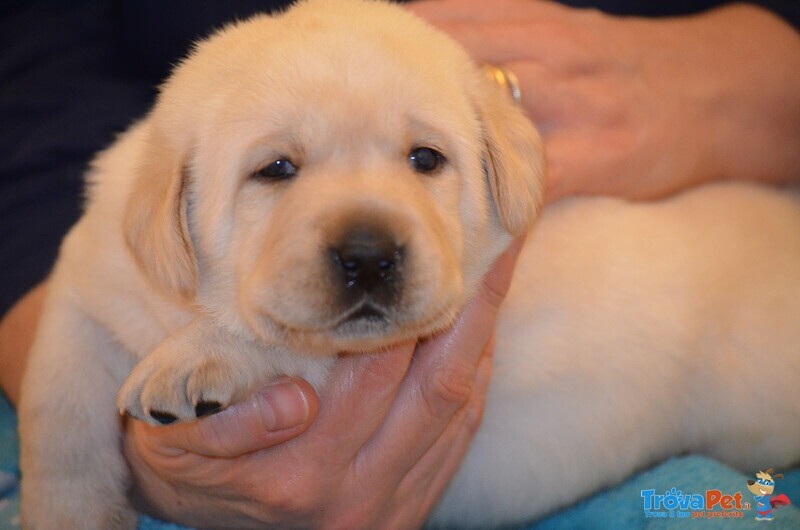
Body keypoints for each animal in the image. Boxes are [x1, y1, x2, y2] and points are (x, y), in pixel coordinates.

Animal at [18, 0, 800, 524]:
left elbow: (284, 341)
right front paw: (67, 514)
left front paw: (197, 358)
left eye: (426, 158)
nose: (370, 256)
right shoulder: (85, 288)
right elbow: (55, 416)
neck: (189, 300)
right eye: (275, 169)